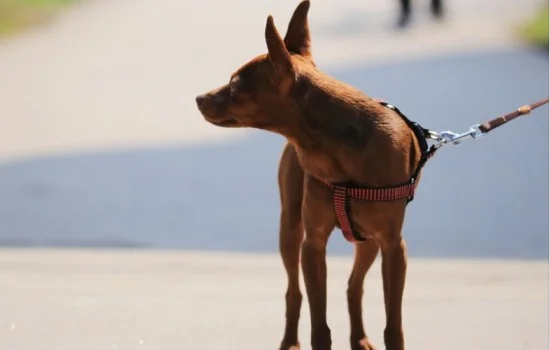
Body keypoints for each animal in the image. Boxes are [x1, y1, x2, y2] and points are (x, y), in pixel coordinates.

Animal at [196, 1, 424, 348]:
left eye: (235, 85)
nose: (199, 99)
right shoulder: (313, 244)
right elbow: (319, 325)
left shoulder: (393, 247)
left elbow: (393, 326)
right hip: (290, 230)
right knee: (294, 291)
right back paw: (290, 340)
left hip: (368, 241)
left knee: (354, 286)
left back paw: (358, 338)